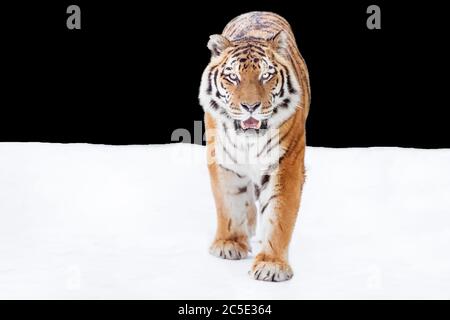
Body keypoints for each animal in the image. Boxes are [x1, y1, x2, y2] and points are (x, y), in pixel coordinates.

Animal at [199, 11, 312, 282]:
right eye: (233, 76)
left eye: (266, 76)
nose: (251, 106)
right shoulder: (222, 160)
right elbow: (230, 202)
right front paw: (229, 244)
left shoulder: (286, 164)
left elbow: (279, 215)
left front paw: (271, 264)